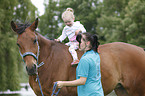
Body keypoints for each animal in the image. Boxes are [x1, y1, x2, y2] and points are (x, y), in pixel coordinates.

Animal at [10, 18, 145, 96]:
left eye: (34, 40)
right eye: (18, 44)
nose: (31, 68)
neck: (49, 59)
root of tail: (141, 50)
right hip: (122, 90)